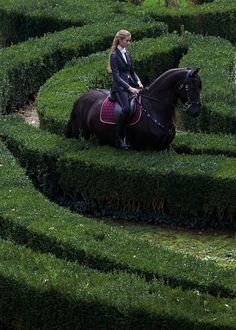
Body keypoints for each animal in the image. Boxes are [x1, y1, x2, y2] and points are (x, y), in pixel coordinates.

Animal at [64, 67, 201, 150]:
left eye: (200, 87)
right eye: (190, 87)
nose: (196, 112)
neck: (154, 108)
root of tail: (79, 100)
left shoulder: (165, 147)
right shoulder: (149, 148)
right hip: (81, 136)